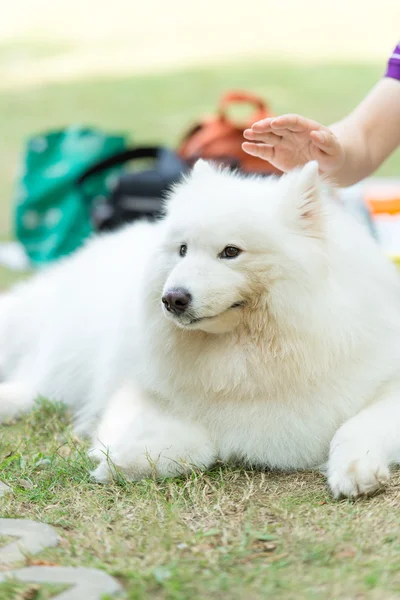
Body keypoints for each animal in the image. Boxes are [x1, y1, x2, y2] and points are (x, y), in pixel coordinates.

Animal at [0, 161, 400, 496]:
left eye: (231, 252)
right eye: (182, 250)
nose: (172, 298)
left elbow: (356, 425)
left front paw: (356, 469)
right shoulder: (134, 389)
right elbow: (198, 443)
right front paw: (121, 458)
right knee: (35, 381)